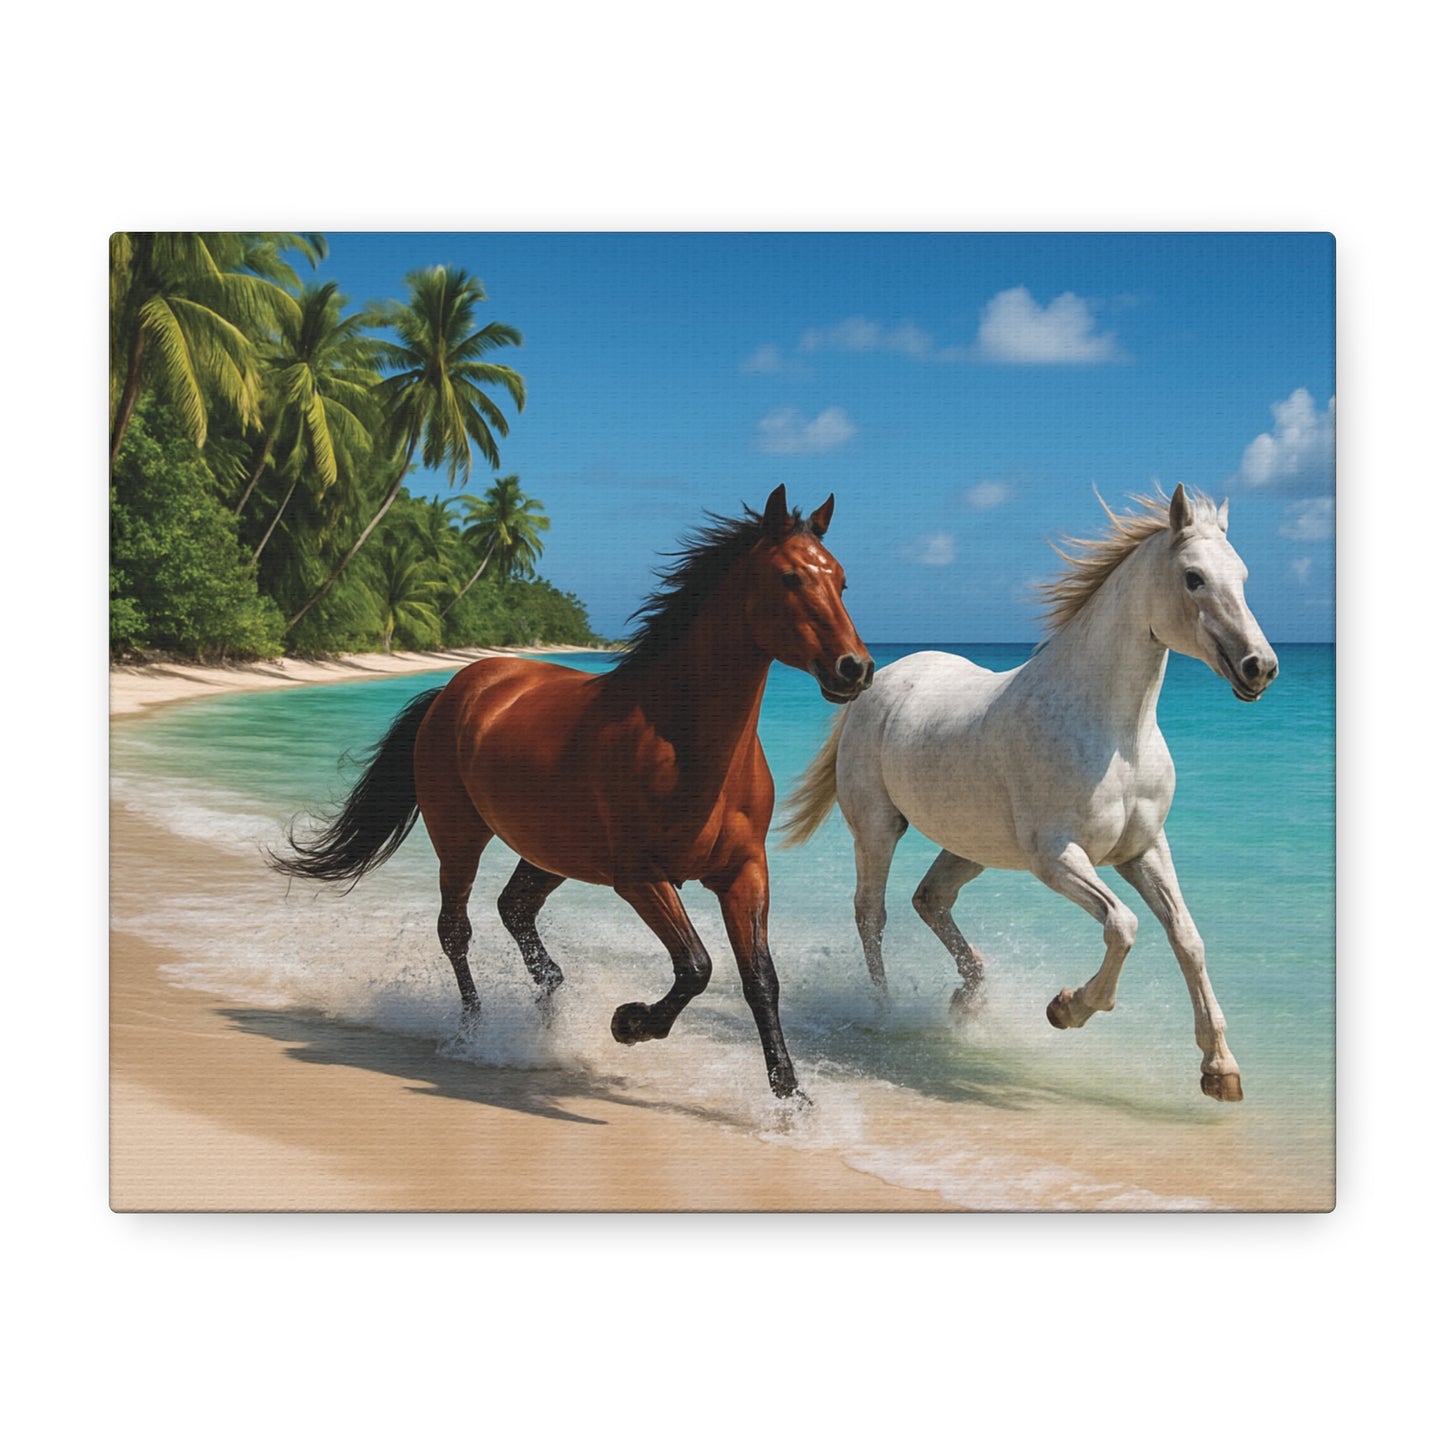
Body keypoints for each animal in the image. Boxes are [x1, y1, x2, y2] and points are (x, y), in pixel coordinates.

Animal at [271, 484, 873, 1100]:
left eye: (842, 581)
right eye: (791, 577)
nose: (856, 668)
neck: (681, 743)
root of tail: (459, 686)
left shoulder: (743, 872)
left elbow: (760, 980)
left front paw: (791, 1098)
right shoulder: (638, 876)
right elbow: (696, 966)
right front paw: (629, 1023)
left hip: (551, 853)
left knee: (514, 910)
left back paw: (548, 1007)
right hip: (460, 838)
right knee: (455, 931)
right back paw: (473, 1033)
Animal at [782, 485, 1277, 1102]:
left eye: (1244, 575)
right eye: (1193, 577)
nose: (1260, 668)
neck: (1114, 735)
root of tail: (878, 678)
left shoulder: (1144, 850)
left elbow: (1187, 937)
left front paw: (1220, 1069)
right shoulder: (1057, 857)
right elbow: (1124, 925)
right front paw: (1067, 1008)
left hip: (972, 847)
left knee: (930, 899)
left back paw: (968, 998)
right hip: (877, 830)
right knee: (872, 913)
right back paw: (886, 1011)